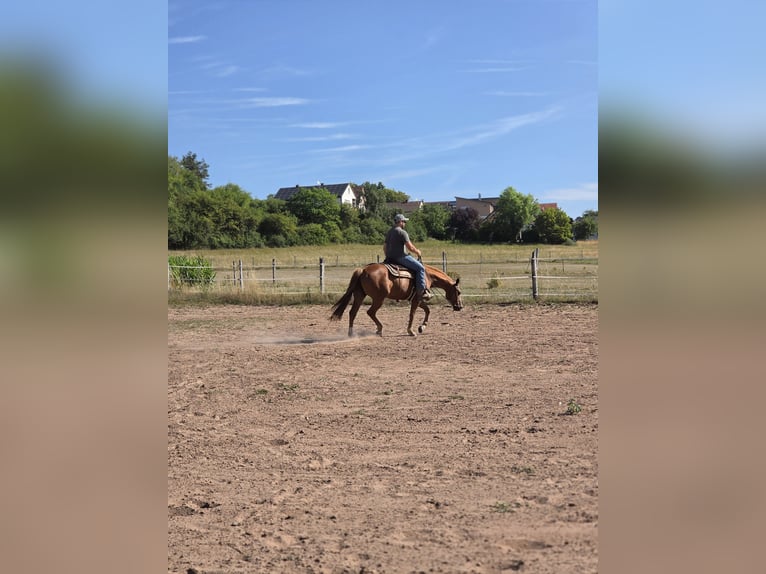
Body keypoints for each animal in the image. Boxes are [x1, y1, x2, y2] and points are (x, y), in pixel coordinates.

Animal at [330, 262, 463, 337]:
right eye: (458, 292)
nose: (460, 306)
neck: (427, 275)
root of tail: (363, 270)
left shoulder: (417, 299)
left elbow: (427, 310)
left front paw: (422, 327)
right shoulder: (416, 299)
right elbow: (412, 314)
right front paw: (411, 331)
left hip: (359, 296)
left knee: (353, 312)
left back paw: (351, 333)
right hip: (379, 298)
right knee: (370, 312)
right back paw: (379, 329)